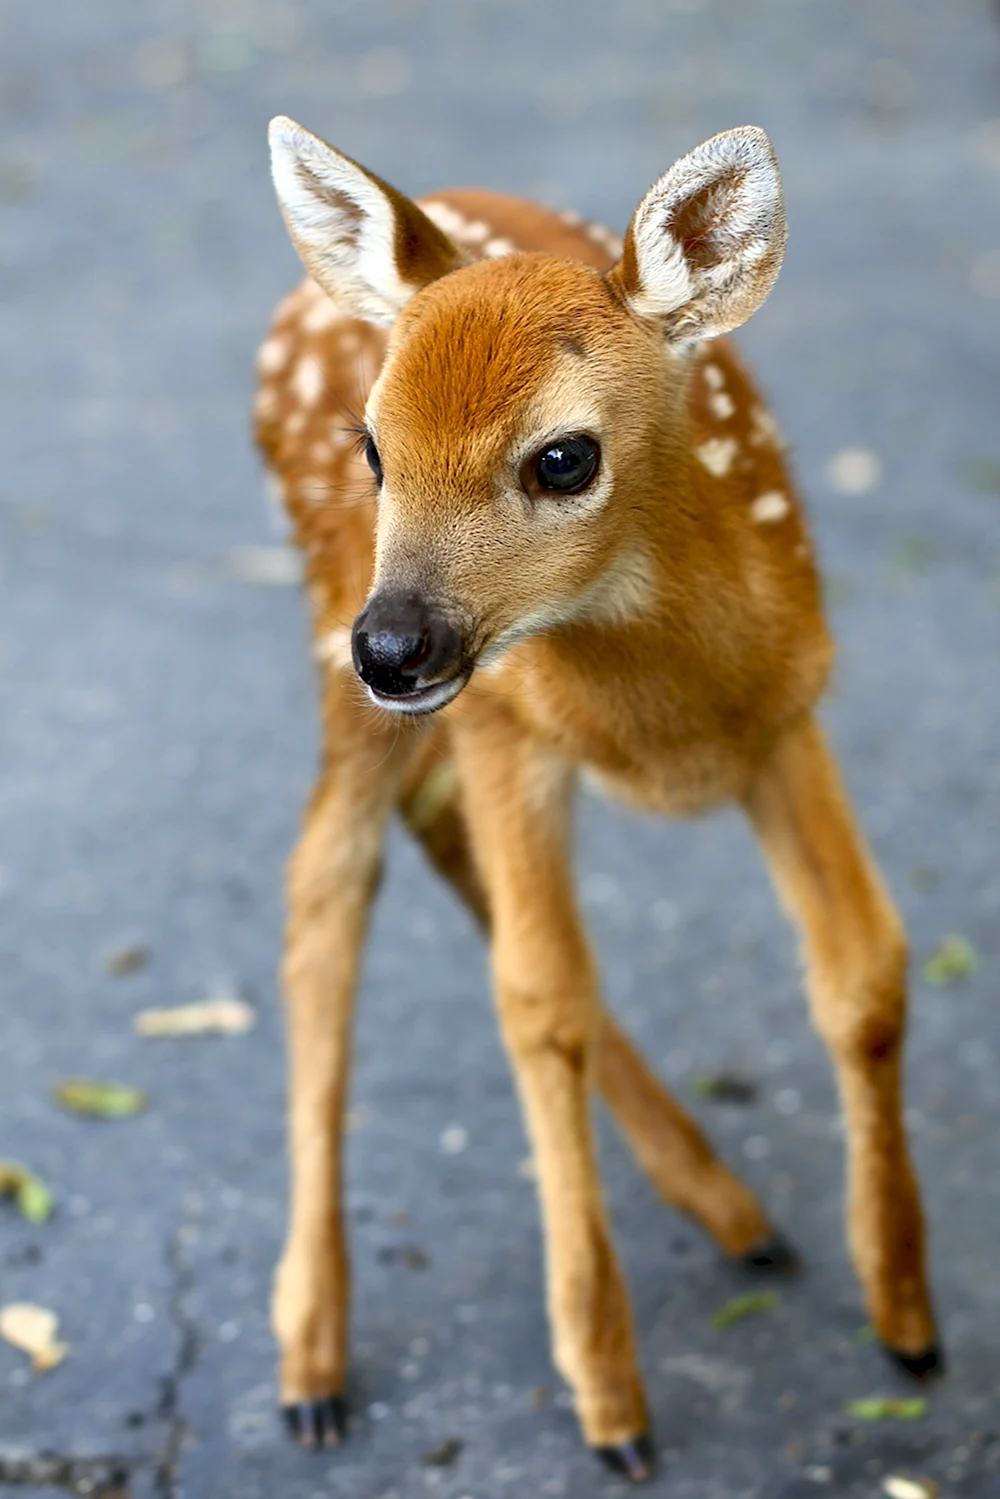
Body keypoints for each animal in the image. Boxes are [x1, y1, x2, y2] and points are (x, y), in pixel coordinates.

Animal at [256, 113, 941, 1475]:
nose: (393, 646)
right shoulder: (509, 729)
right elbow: (539, 997)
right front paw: (608, 1395)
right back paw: (310, 1358)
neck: (664, 721)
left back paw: (728, 1205)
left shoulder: (787, 712)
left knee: (412, 844)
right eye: (373, 446)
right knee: (326, 883)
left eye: (563, 457)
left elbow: (864, 969)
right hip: (338, 636)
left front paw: (904, 1313)